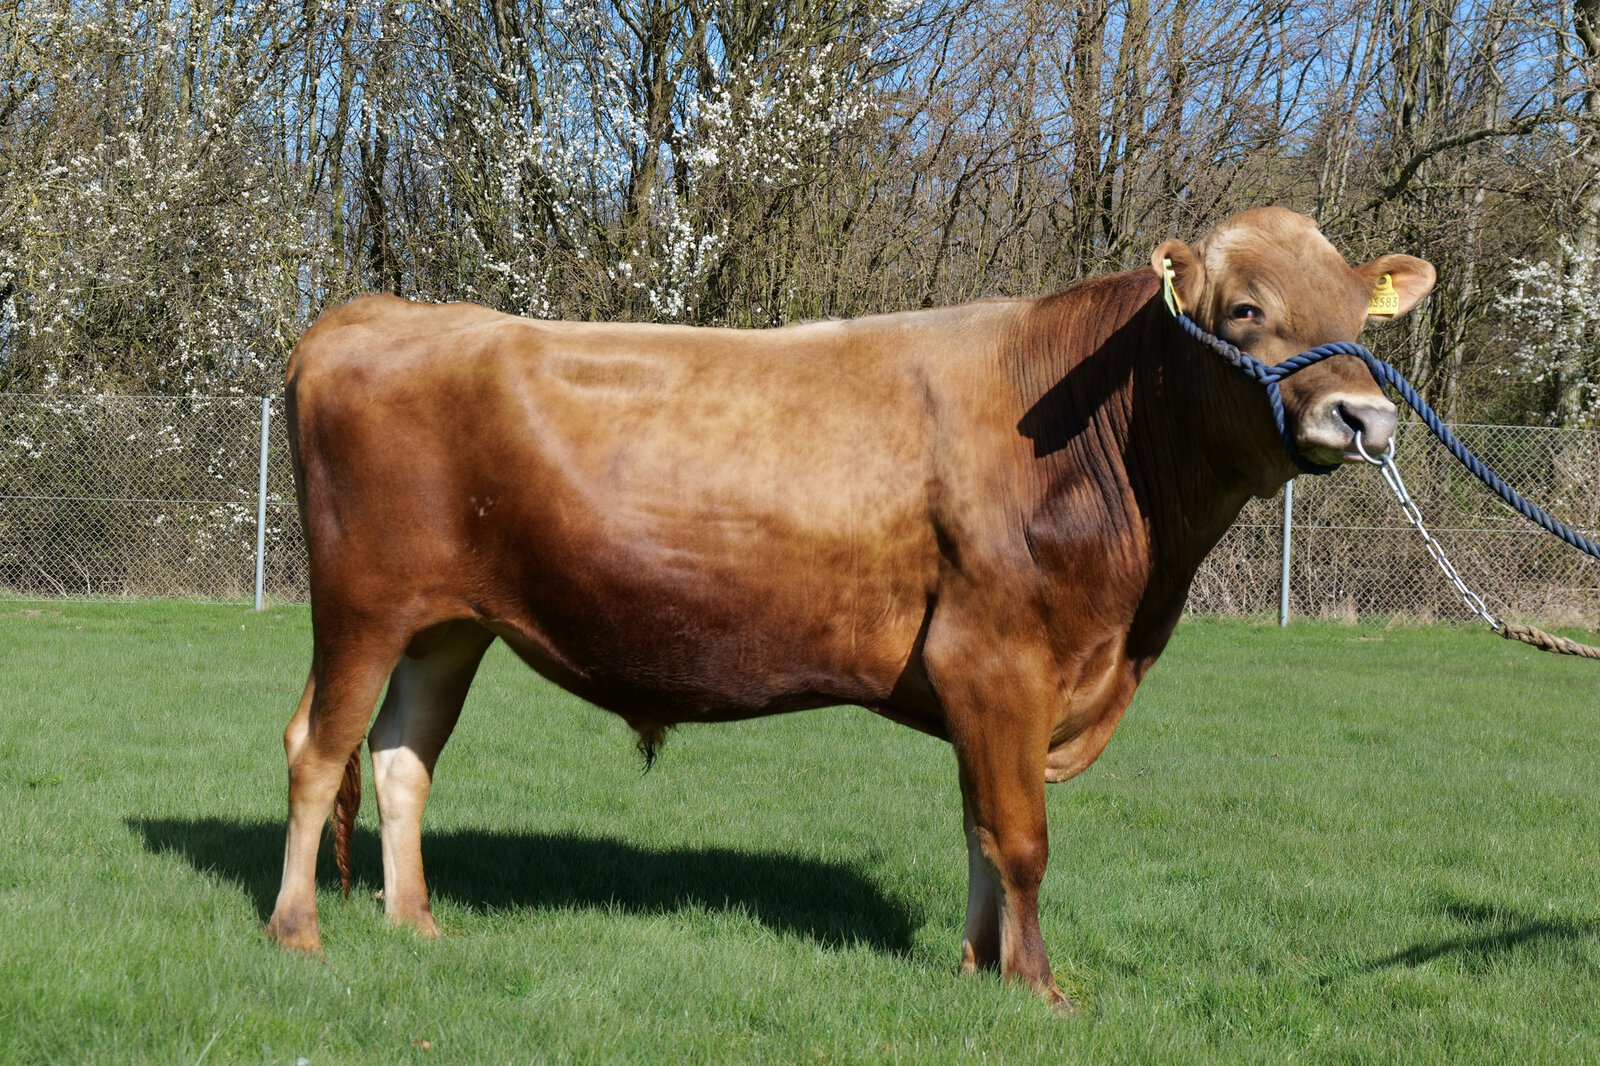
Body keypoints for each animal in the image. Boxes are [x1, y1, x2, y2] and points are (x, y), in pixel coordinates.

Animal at [265, 207, 1434, 1008]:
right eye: (1247, 310)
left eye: (1356, 316)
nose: (1365, 417)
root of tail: (371, 313)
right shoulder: (998, 659)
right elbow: (1021, 837)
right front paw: (1039, 988)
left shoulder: (988, 686)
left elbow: (977, 828)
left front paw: (974, 967)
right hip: (362, 604)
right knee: (316, 750)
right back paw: (296, 931)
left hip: (447, 626)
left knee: (400, 760)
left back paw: (415, 924)